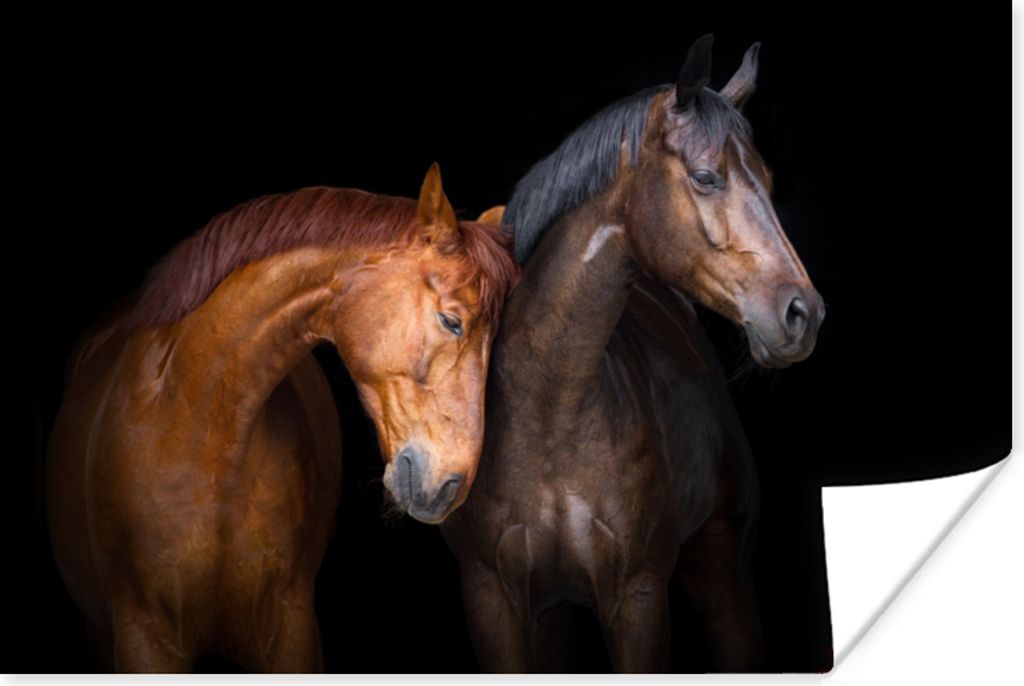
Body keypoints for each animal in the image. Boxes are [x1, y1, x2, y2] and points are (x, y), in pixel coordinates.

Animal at [441, 36, 824, 672]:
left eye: (769, 182)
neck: (551, 412)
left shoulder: (638, 599)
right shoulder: (492, 601)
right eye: (705, 177)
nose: (804, 314)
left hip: (724, 584)